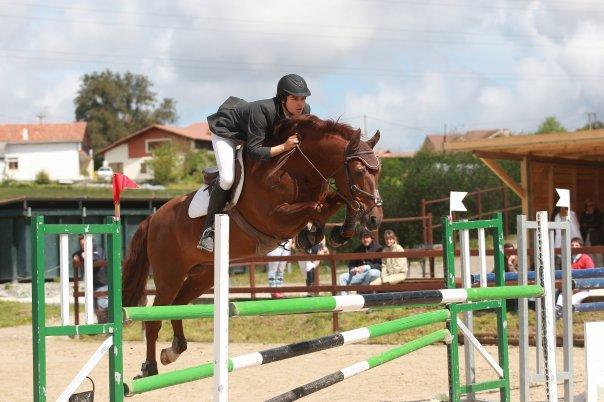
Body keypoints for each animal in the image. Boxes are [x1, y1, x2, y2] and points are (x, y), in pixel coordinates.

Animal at [122, 114, 382, 378]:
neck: (296, 168)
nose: (375, 218)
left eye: (379, 171)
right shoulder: (275, 219)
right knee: (154, 318)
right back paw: (149, 367)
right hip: (169, 275)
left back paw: (174, 349)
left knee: (177, 306)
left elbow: (336, 199)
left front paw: (338, 231)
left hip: (202, 275)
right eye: (359, 171)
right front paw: (314, 233)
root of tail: (153, 218)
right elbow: (318, 207)